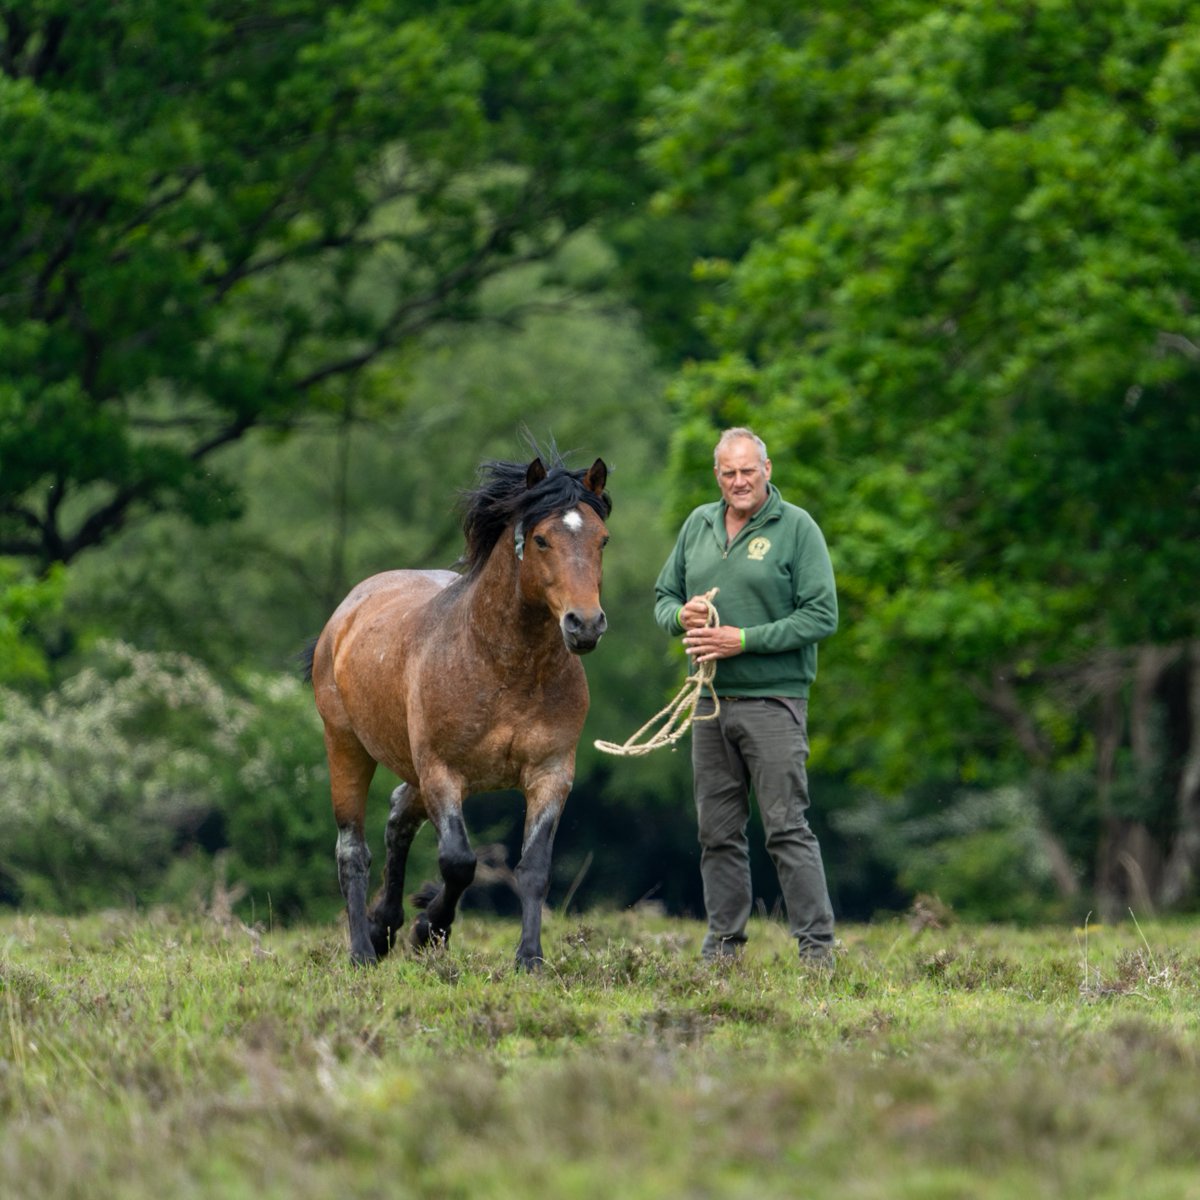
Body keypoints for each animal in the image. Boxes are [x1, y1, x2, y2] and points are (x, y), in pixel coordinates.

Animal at [305, 451, 611, 970]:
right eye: (542, 539)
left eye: (602, 538)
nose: (584, 625)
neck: (504, 666)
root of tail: (347, 611)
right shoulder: (443, 771)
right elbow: (459, 862)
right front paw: (429, 928)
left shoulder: (551, 773)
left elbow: (534, 869)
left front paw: (529, 958)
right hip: (347, 747)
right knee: (352, 850)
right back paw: (363, 950)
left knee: (398, 818)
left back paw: (383, 927)